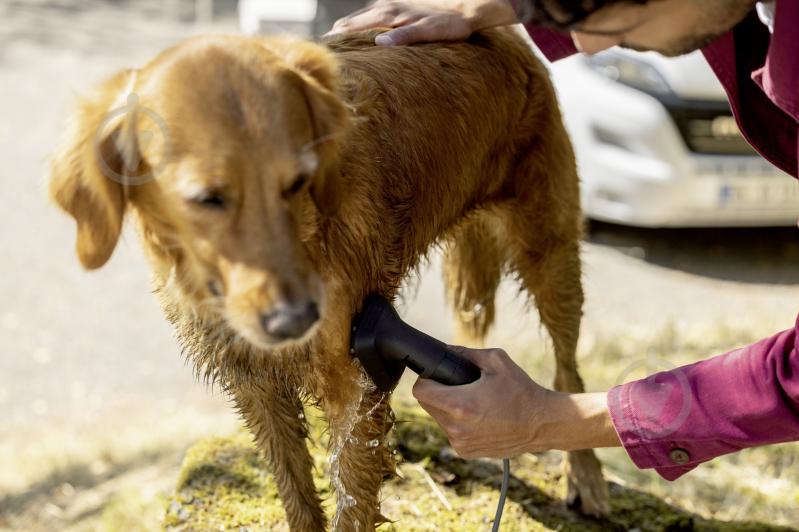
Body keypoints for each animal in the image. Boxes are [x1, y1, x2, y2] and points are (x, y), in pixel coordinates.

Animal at [50, 28, 608, 528]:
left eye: (296, 182)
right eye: (208, 199)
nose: (296, 319)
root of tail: (503, 31)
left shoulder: (353, 382)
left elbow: (352, 496)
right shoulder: (255, 382)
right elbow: (297, 493)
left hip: (549, 251)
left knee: (566, 366)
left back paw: (585, 477)